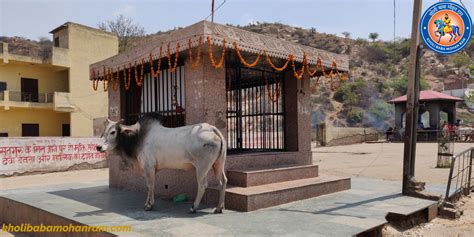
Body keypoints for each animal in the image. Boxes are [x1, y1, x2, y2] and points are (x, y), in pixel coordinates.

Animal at [95, 115, 227, 215]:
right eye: (103, 132)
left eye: (113, 132)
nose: (98, 147)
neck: (138, 137)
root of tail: (212, 129)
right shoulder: (151, 169)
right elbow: (150, 186)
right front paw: (148, 204)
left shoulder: (148, 167)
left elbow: (150, 186)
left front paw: (149, 205)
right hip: (218, 164)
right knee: (222, 182)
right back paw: (219, 207)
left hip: (202, 167)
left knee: (203, 185)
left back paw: (193, 207)